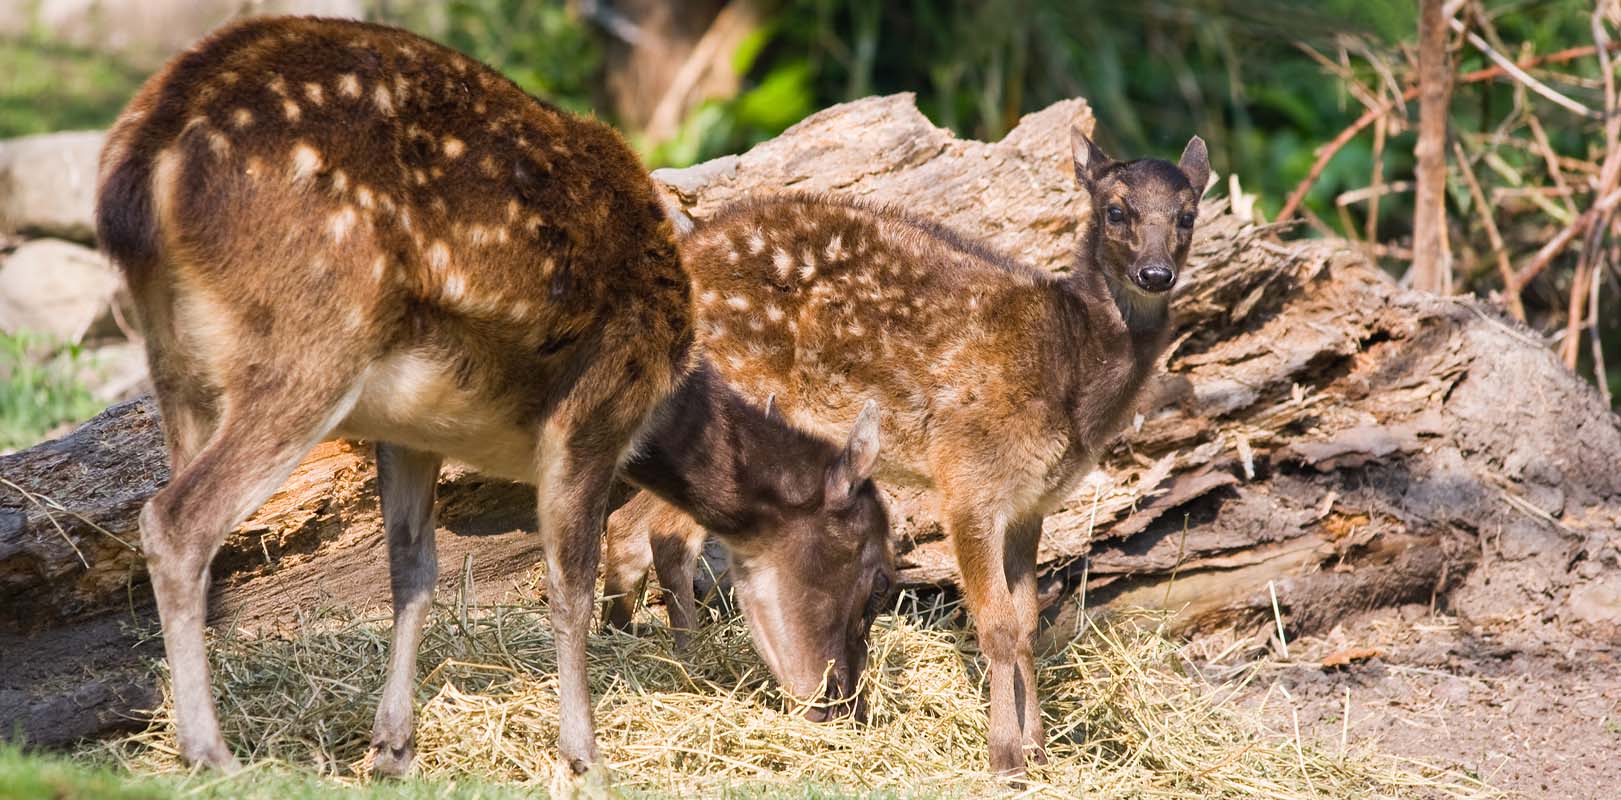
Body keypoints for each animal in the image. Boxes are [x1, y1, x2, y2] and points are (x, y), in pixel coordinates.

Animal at [94, 17, 894, 780]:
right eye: (875, 578)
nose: (845, 706)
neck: (666, 399)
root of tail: (135, 169)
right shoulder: (593, 411)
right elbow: (568, 583)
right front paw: (584, 755)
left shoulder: (409, 429)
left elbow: (415, 572)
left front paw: (394, 750)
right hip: (307, 338)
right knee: (176, 519)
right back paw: (211, 753)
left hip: (176, 362)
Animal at [603, 129, 1212, 774]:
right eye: (1116, 211)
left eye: (1188, 215)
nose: (1155, 272)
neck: (1069, 374)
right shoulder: (969, 475)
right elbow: (996, 625)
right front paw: (1004, 756)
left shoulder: (1031, 502)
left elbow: (1026, 623)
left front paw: (1039, 748)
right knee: (664, 531)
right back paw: (688, 665)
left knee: (632, 526)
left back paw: (628, 640)